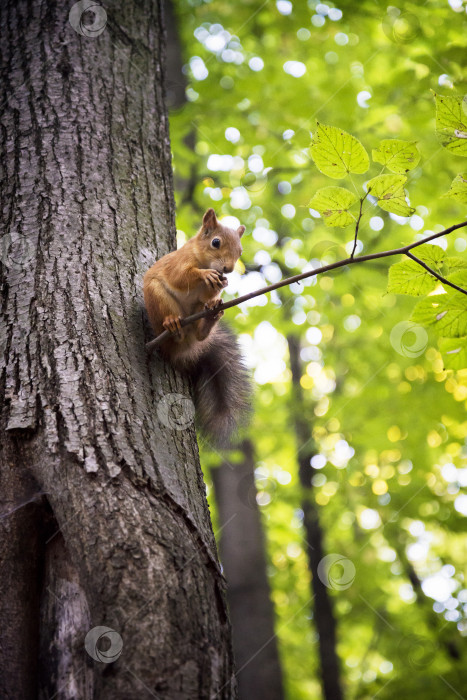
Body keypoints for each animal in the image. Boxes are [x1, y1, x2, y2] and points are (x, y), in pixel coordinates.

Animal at [144, 208, 250, 446]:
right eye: (216, 242)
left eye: (240, 251)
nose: (228, 269)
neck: (203, 260)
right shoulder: (178, 262)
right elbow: (180, 276)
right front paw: (204, 275)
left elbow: (208, 293)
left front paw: (221, 284)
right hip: (158, 298)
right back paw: (172, 323)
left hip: (196, 314)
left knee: (200, 331)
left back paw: (210, 317)